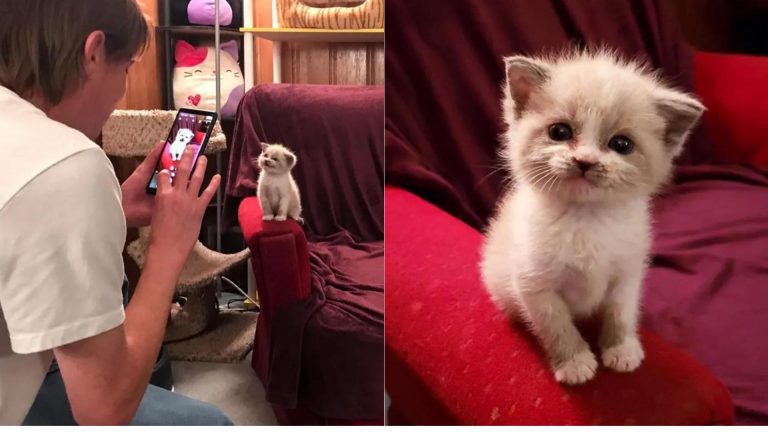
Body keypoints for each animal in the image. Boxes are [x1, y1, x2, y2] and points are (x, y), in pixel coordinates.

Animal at [484, 49, 704, 386]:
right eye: (559, 132)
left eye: (621, 144)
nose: (584, 161)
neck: (586, 218)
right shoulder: (534, 283)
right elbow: (556, 323)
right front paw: (575, 362)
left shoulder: (627, 272)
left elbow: (620, 312)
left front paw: (621, 349)